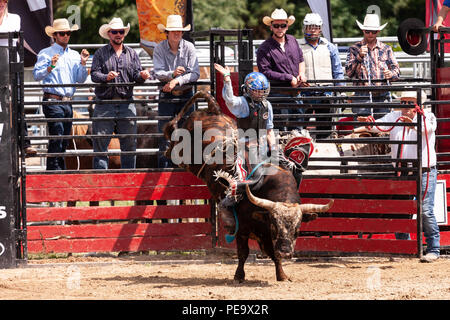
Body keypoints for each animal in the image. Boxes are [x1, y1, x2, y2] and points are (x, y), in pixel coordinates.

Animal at [163, 91, 332, 282]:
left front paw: (282, 274)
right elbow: (243, 253)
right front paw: (239, 275)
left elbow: (273, 254)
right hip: (181, 149)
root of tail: (214, 110)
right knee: (172, 135)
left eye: (297, 229)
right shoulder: (243, 229)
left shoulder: (265, 235)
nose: (286, 251)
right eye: (275, 225)